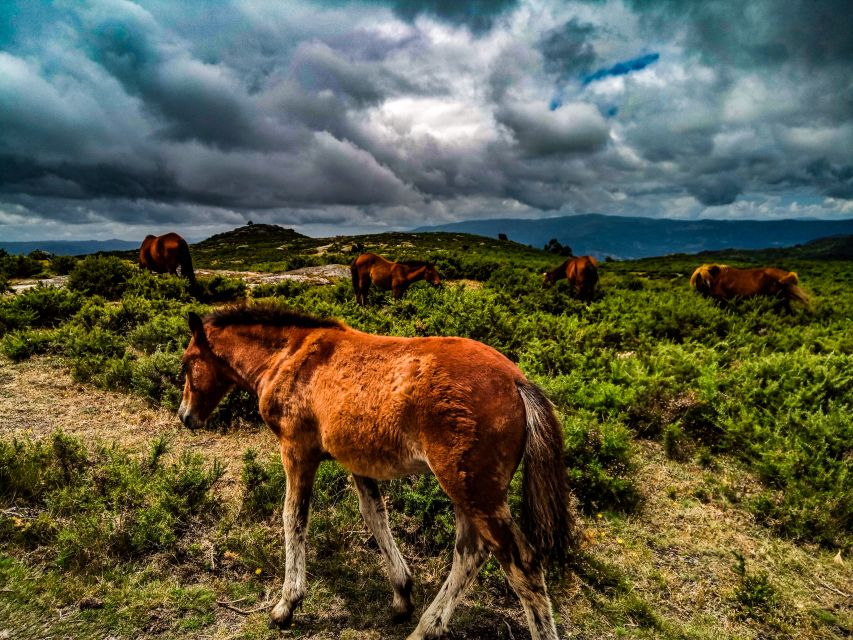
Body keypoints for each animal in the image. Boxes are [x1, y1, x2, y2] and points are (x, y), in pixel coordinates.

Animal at [180, 304, 580, 640]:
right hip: (468, 490)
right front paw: (402, 593)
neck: (290, 357)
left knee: (521, 563)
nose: (185, 416)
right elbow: (375, 515)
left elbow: (293, 517)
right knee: (472, 551)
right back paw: (426, 627)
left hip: (471, 488)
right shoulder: (357, 461)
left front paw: (286, 605)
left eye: (187, 363)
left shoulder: (297, 450)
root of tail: (516, 381)